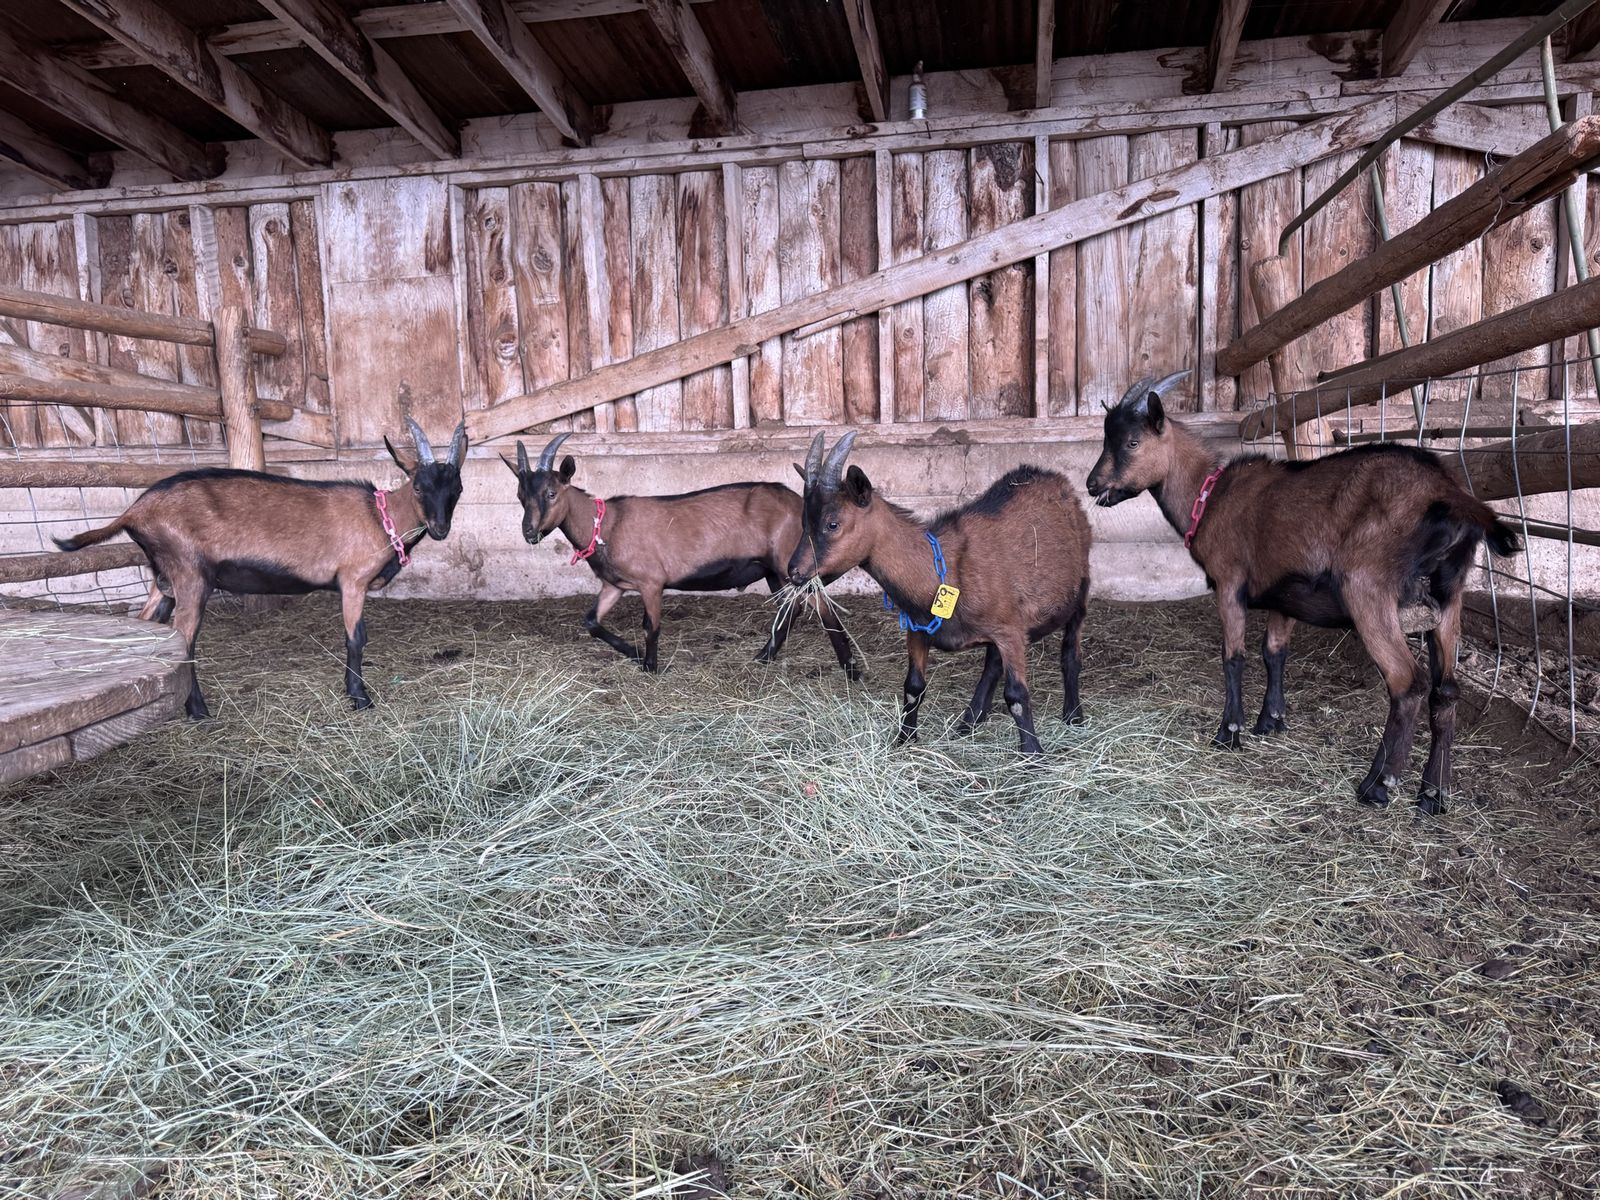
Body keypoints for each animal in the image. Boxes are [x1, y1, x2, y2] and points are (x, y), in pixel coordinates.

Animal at [52, 419, 468, 718]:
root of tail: (135, 510)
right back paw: (198, 711)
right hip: (191, 575)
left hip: (164, 579)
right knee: (184, 640)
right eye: (418, 486)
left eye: (457, 489)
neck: (381, 519)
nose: (440, 529)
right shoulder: (352, 580)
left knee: (151, 628)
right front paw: (360, 699)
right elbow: (356, 639)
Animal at [504, 432, 859, 677]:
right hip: (775, 571)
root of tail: (801, 507)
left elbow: (651, 626)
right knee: (791, 609)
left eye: (551, 493)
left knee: (821, 607)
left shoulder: (651, 582)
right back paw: (765, 656)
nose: (528, 533)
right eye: (520, 495)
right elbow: (591, 621)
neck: (606, 525)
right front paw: (634, 653)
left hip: (792, 567)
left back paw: (849, 667)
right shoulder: (614, 585)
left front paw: (650, 665)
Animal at [787, 431, 1092, 755]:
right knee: (992, 665)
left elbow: (1017, 696)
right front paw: (904, 739)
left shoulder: (1010, 631)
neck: (945, 570)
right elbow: (913, 687)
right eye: (804, 521)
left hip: (1080, 589)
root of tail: (1056, 480)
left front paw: (1033, 754)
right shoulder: (918, 631)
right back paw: (969, 722)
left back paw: (1073, 716)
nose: (794, 571)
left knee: (1070, 653)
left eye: (832, 523)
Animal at [1085, 371, 1520, 813]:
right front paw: (1270, 721)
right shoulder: (1286, 594)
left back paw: (1377, 785)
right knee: (1445, 691)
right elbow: (1274, 652)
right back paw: (1433, 794)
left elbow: (1234, 657)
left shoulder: (1229, 583)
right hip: (1450, 599)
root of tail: (1450, 497)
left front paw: (1229, 732)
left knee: (1406, 682)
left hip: (1367, 589)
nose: (1092, 484)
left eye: (1132, 442)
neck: (1208, 497)